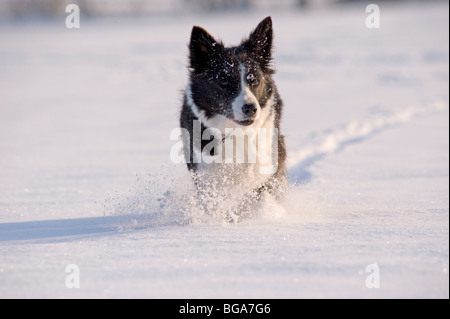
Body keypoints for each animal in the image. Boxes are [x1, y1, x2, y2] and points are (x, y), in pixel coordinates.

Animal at [180, 16, 288, 222]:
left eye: (254, 80)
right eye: (224, 81)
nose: (251, 108)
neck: (236, 132)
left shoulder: (266, 167)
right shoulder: (206, 175)